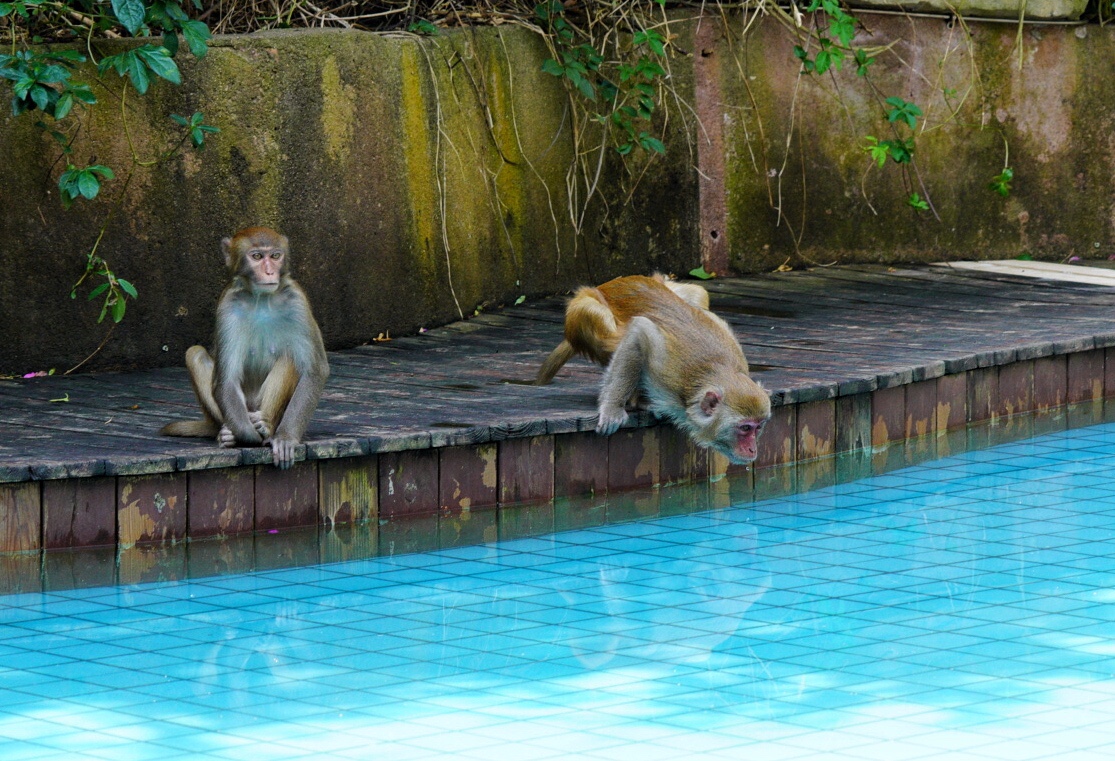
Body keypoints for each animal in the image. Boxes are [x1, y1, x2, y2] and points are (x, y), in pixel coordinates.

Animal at [160, 225, 330, 470]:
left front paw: (285, 437)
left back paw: (266, 426)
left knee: (290, 356)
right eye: (257, 256)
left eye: (275, 256)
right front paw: (245, 436)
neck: (262, 298)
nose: (269, 272)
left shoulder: (297, 300)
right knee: (195, 354)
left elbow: (315, 370)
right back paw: (227, 434)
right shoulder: (228, 305)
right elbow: (226, 380)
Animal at [537, 274, 767, 463]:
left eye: (758, 427)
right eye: (745, 428)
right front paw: (612, 408)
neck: (713, 371)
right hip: (582, 309)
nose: (753, 449)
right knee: (602, 323)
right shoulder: (666, 367)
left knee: (697, 294)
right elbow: (639, 333)